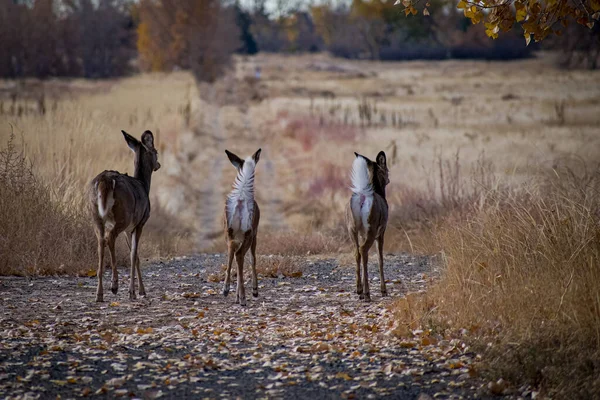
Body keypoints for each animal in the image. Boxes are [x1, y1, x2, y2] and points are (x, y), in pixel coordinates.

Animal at [88, 130, 161, 302]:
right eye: (156, 152)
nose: (159, 165)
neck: (144, 185)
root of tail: (105, 180)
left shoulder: (129, 229)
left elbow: (136, 256)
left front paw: (141, 290)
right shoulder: (139, 223)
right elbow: (133, 255)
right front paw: (133, 292)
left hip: (95, 214)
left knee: (101, 242)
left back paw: (99, 294)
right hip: (123, 214)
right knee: (110, 237)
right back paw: (114, 285)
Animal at [344, 152, 392, 302]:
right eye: (386, 169)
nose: (389, 178)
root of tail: (362, 196)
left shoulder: (362, 233)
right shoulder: (381, 232)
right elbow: (380, 259)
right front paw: (383, 290)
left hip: (352, 228)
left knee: (357, 252)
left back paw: (359, 290)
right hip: (372, 227)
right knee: (363, 250)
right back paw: (367, 293)